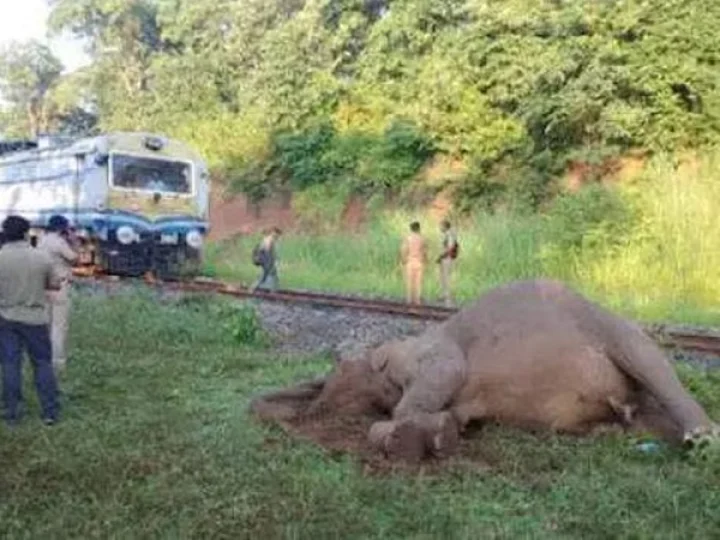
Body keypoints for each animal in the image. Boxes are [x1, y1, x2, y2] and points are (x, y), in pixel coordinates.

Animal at [250, 279, 717, 462]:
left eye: (340, 363)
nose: (310, 408)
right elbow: (452, 413)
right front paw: (439, 433)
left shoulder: (429, 351)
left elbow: (441, 377)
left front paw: (414, 437)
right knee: (642, 420)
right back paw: (610, 431)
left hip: (618, 331)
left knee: (651, 363)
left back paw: (702, 439)